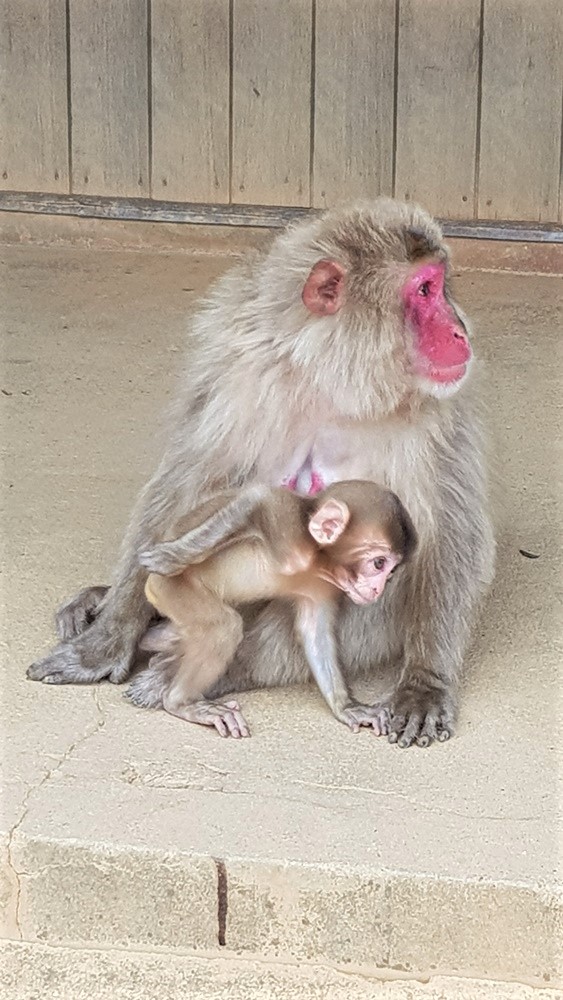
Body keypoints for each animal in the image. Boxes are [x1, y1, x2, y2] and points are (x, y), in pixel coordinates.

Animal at [127, 480, 417, 738]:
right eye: (379, 563)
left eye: (391, 572)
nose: (379, 588)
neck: (316, 564)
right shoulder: (289, 526)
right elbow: (257, 499)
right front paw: (171, 556)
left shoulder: (321, 588)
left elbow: (316, 632)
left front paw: (347, 707)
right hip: (171, 589)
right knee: (223, 628)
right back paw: (182, 702)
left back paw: (160, 648)